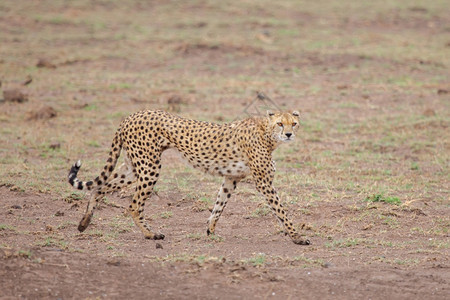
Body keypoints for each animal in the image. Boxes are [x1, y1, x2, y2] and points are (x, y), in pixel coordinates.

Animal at [68, 109, 312, 245]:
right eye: (280, 123)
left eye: (294, 123)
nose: (288, 134)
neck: (266, 132)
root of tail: (131, 115)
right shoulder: (263, 182)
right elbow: (282, 211)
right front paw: (297, 237)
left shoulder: (231, 179)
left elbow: (219, 205)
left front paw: (210, 230)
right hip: (150, 167)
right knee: (133, 205)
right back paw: (151, 235)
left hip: (133, 167)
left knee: (98, 187)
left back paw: (84, 222)